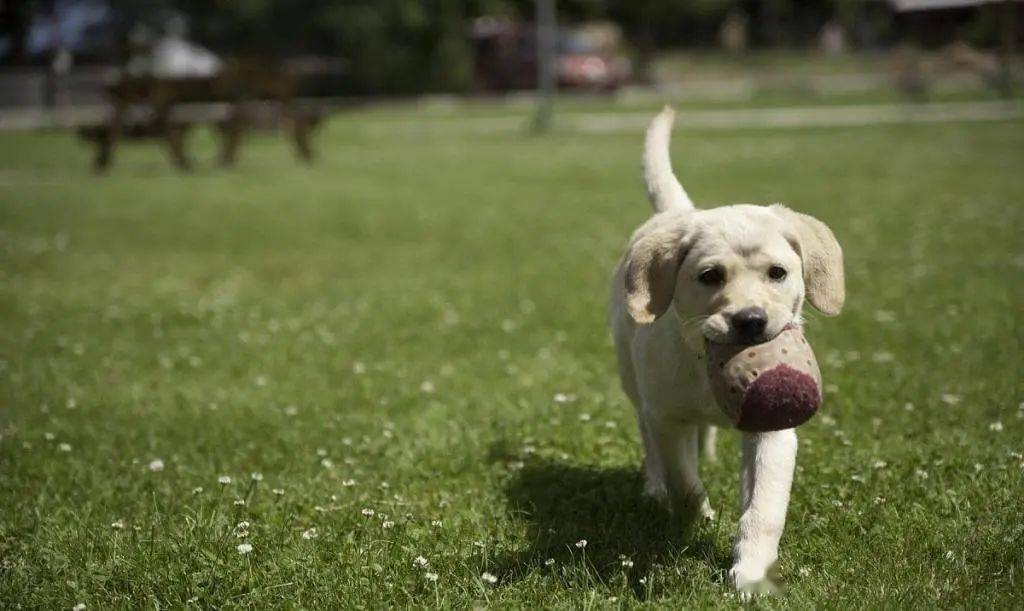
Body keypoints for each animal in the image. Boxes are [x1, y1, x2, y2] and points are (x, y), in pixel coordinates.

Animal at [610, 107, 843, 593]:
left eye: (778, 273)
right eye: (710, 276)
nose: (751, 320)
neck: (705, 365)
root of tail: (679, 212)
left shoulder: (773, 428)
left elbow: (764, 508)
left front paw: (751, 572)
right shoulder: (668, 418)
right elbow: (684, 479)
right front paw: (695, 518)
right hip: (635, 382)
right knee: (648, 436)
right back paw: (655, 489)